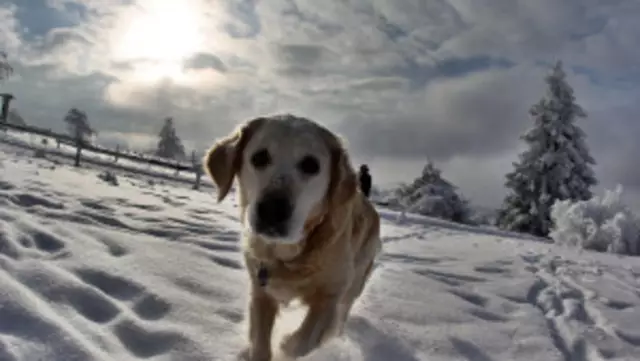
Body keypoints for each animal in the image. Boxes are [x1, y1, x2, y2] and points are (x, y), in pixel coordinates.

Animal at [204, 114, 380, 358]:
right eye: (259, 157)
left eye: (311, 165)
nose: (272, 210)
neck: (288, 256)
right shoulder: (260, 290)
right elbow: (259, 339)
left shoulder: (333, 292)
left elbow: (307, 338)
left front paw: (286, 345)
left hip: (356, 282)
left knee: (342, 315)